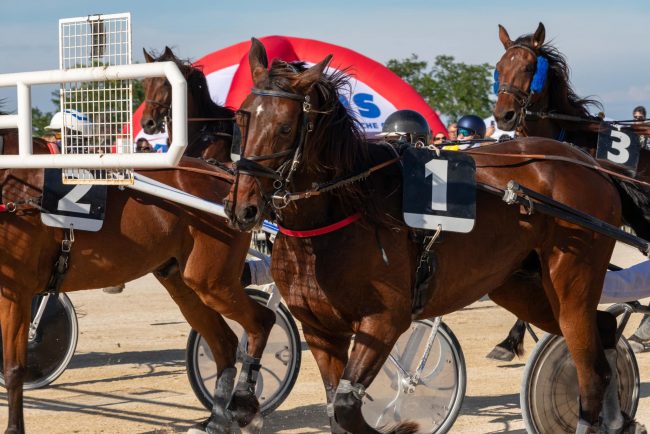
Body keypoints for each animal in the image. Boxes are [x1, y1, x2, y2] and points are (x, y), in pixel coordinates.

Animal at [0, 132, 275, 432]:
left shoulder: (17, 292)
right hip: (184, 283)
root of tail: (228, 178)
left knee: (263, 321)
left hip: (213, 281)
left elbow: (14, 368)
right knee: (224, 343)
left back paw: (244, 405)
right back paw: (215, 420)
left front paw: (13, 428)